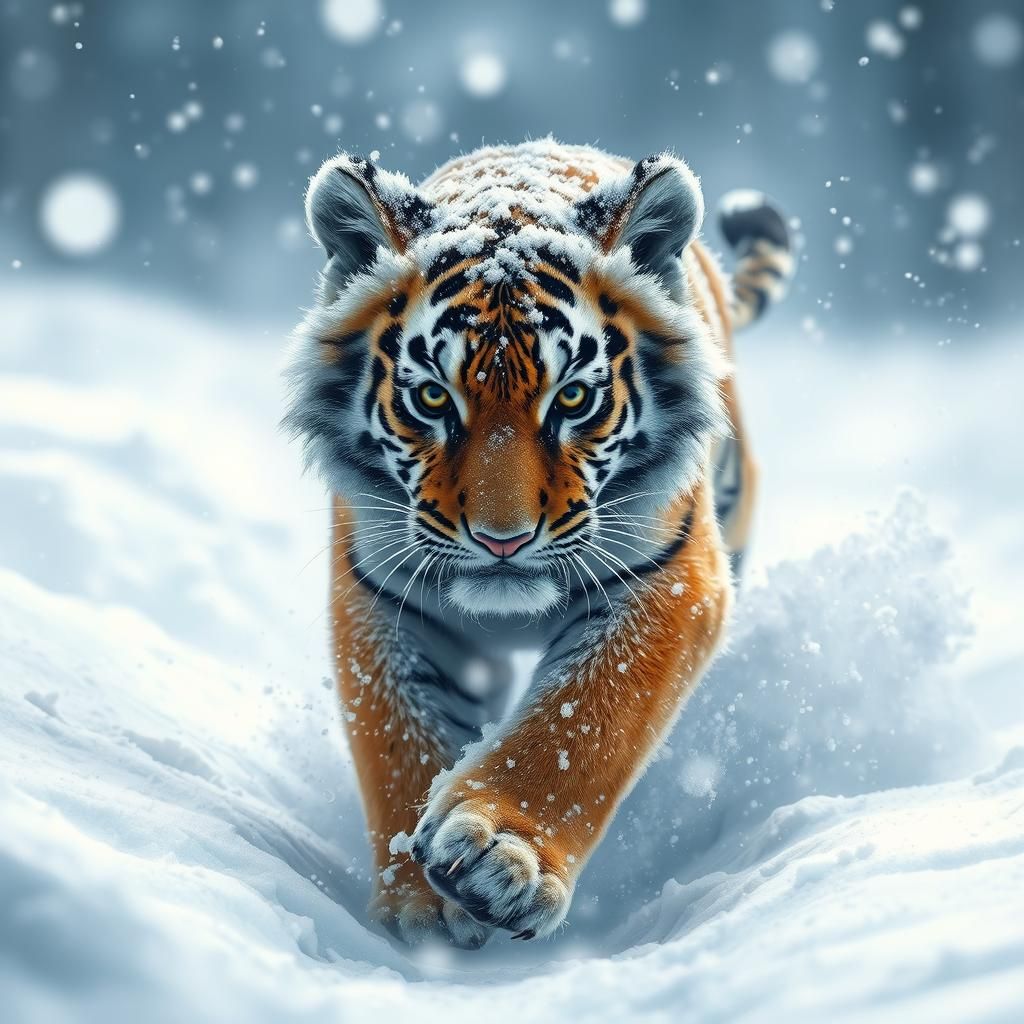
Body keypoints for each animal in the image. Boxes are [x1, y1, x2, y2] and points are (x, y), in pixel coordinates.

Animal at [286, 140, 793, 948]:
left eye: (574, 398)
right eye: (433, 398)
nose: (504, 541)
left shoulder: (672, 577)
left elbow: (583, 721)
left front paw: (500, 856)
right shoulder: (379, 595)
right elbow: (399, 743)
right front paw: (420, 907)